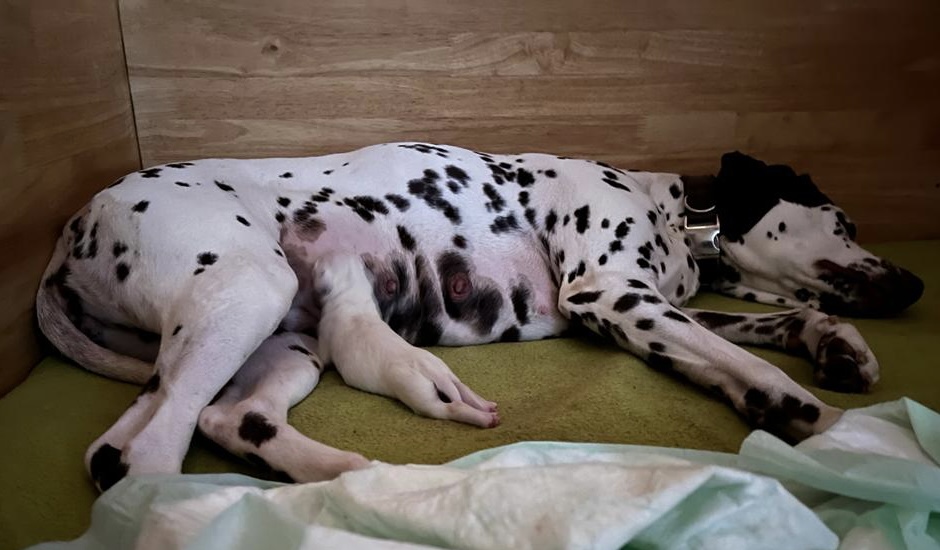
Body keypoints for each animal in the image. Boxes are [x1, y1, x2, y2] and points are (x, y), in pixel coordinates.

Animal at [37, 143, 924, 491]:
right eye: (843, 220)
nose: (917, 284)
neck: (676, 215)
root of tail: (73, 228)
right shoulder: (617, 295)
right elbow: (755, 361)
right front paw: (834, 427)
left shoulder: (653, 309)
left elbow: (777, 326)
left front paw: (838, 348)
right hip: (246, 295)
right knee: (143, 451)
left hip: (282, 339)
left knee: (225, 421)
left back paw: (350, 476)